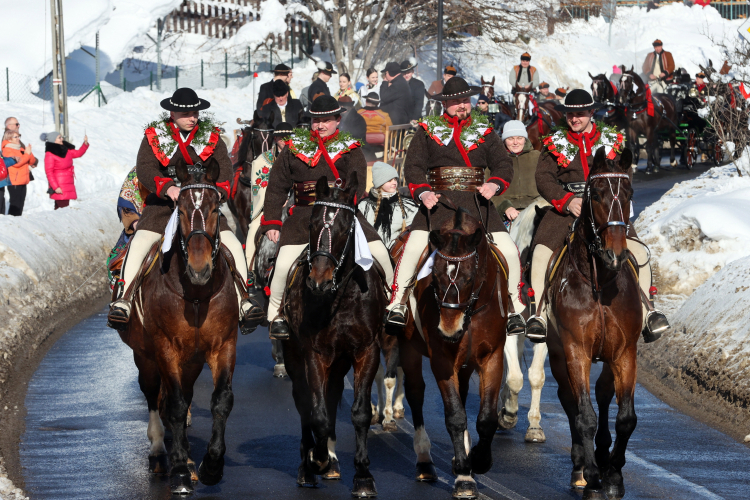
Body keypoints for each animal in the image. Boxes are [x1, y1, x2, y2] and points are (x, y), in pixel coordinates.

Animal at [119, 158, 241, 494]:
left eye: (214, 209)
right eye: (182, 210)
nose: (200, 268)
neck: (196, 294)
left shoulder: (223, 345)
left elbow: (221, 401)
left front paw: (211, 466)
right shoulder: (165, 348)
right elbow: (172, 405)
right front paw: (181, 474)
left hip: (192, 361)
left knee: (182, 395)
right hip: (146, 356)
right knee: (153, 396)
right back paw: (161, 454)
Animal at [282, 172, 388, 496]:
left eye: (345, 228)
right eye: (312, 224)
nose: (318, 281)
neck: (341, 295)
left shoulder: (367, 351)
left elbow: (360, 411)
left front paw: (363, 475)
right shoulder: (314, 354)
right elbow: (316, 413)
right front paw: (316, 460)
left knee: (331, 396)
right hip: (296, 357)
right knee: (306, 402)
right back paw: (309, 465)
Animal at [400, 206, 512, 500]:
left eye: (469, 278)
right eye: (434, 277)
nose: (449, 330)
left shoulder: (491, 357)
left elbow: (486, 418)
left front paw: (479, 461)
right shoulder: (442, 360)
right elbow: (455, 415)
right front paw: (463, 473)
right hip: (408, 349)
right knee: (415, 393)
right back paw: (425, 461)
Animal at [544, 146, 644, 498]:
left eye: (629, 193)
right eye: (597, 194)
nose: (616, 253)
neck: (599, 280)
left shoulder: (625, 353)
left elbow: (625, 417)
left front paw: (613, 474)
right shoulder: (577, 352)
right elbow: (584, 415)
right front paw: (592, 476)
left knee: (602, 393)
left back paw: (602, 454)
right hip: (558, 354)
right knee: (569, 400)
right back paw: (581, 466)